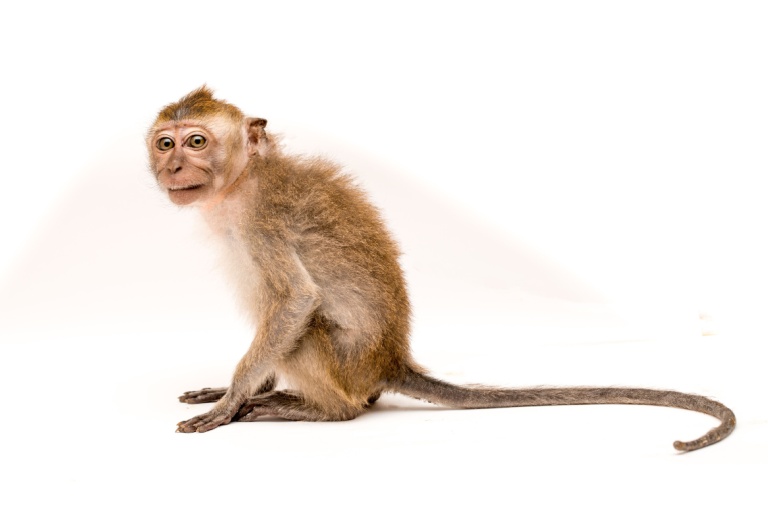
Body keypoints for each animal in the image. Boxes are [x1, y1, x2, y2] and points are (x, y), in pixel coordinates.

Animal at [146, 86, 735, 452]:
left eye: (197, 141)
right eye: (166, 143)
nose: (173, 166)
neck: (244, 181)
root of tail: (389, 363)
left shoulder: (262, 223)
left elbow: (296, 302)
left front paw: (234, 397)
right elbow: (280, 306)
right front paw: (234, 389)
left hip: (343, 367)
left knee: (309, 336)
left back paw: (321, 410)